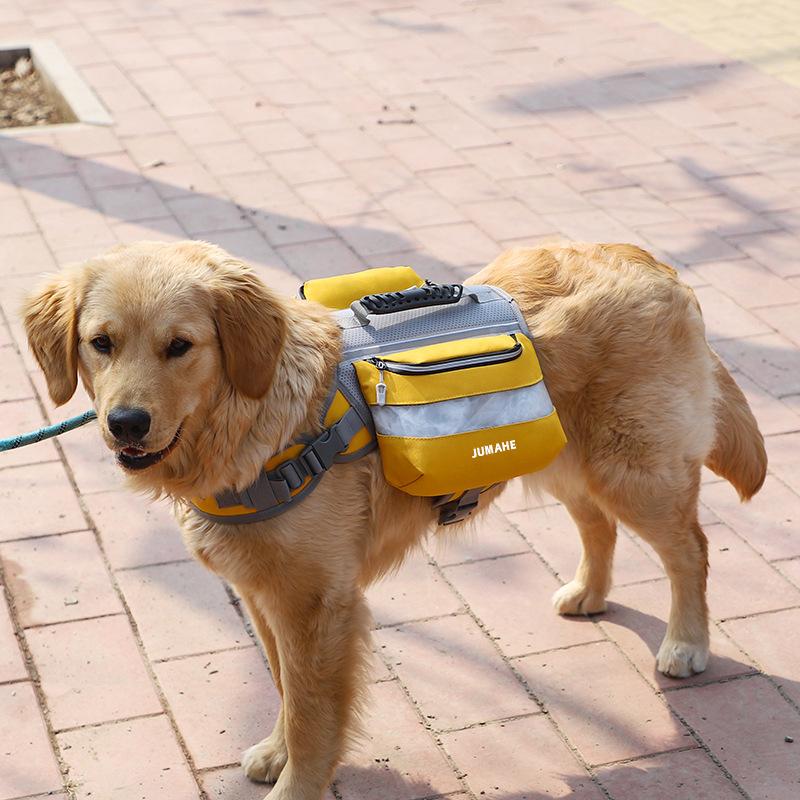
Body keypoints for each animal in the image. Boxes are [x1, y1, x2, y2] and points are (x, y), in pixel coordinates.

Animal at [23, 242, 764, 800]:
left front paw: (297, 783)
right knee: (596, 524)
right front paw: (276, 752)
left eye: (180, 346)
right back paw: (589, 592)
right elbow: (285, 691)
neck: (250, 425)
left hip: (633, 471)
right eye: (101, 343)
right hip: (561, 457)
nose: (126, 423)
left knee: (691, 549)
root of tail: (653, 264)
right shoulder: (266, 596)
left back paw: (686, 643)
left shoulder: (316, 604)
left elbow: (313, 714)